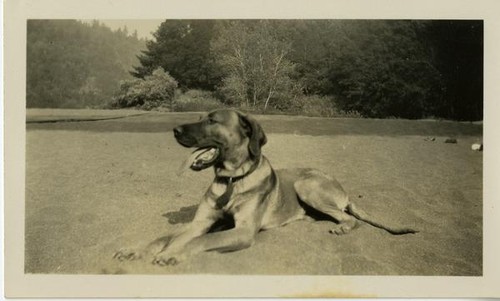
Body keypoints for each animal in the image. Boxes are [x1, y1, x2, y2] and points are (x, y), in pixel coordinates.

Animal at [114, 108, 418, 264]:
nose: (175, 130)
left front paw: (173, 253)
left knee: (349, 218)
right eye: (200, 117)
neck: (232, 180)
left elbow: (202, 239)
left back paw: (342, 226)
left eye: (211, 120)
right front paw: (137, 249)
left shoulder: (243, 231)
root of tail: (342, 189)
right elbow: (164, 235)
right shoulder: (201, 222)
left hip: (306, 184)